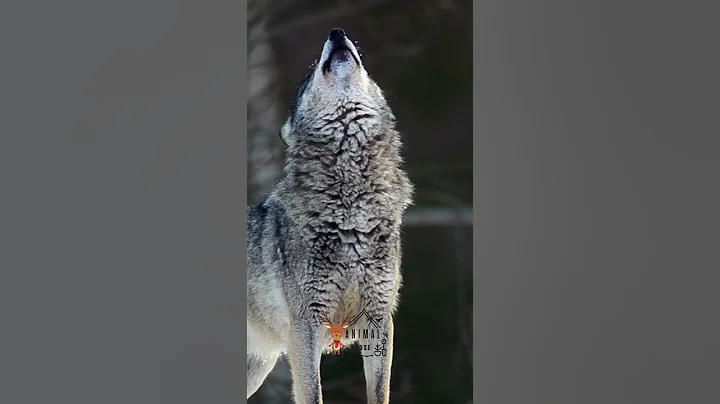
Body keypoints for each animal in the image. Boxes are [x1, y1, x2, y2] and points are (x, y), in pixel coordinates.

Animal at [247, 28, 413, 404]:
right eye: (309, 73)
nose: (336, 33)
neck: (351, 210)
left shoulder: (379, 319)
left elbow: (379, 392)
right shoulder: (305, 325)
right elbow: (313, 394)